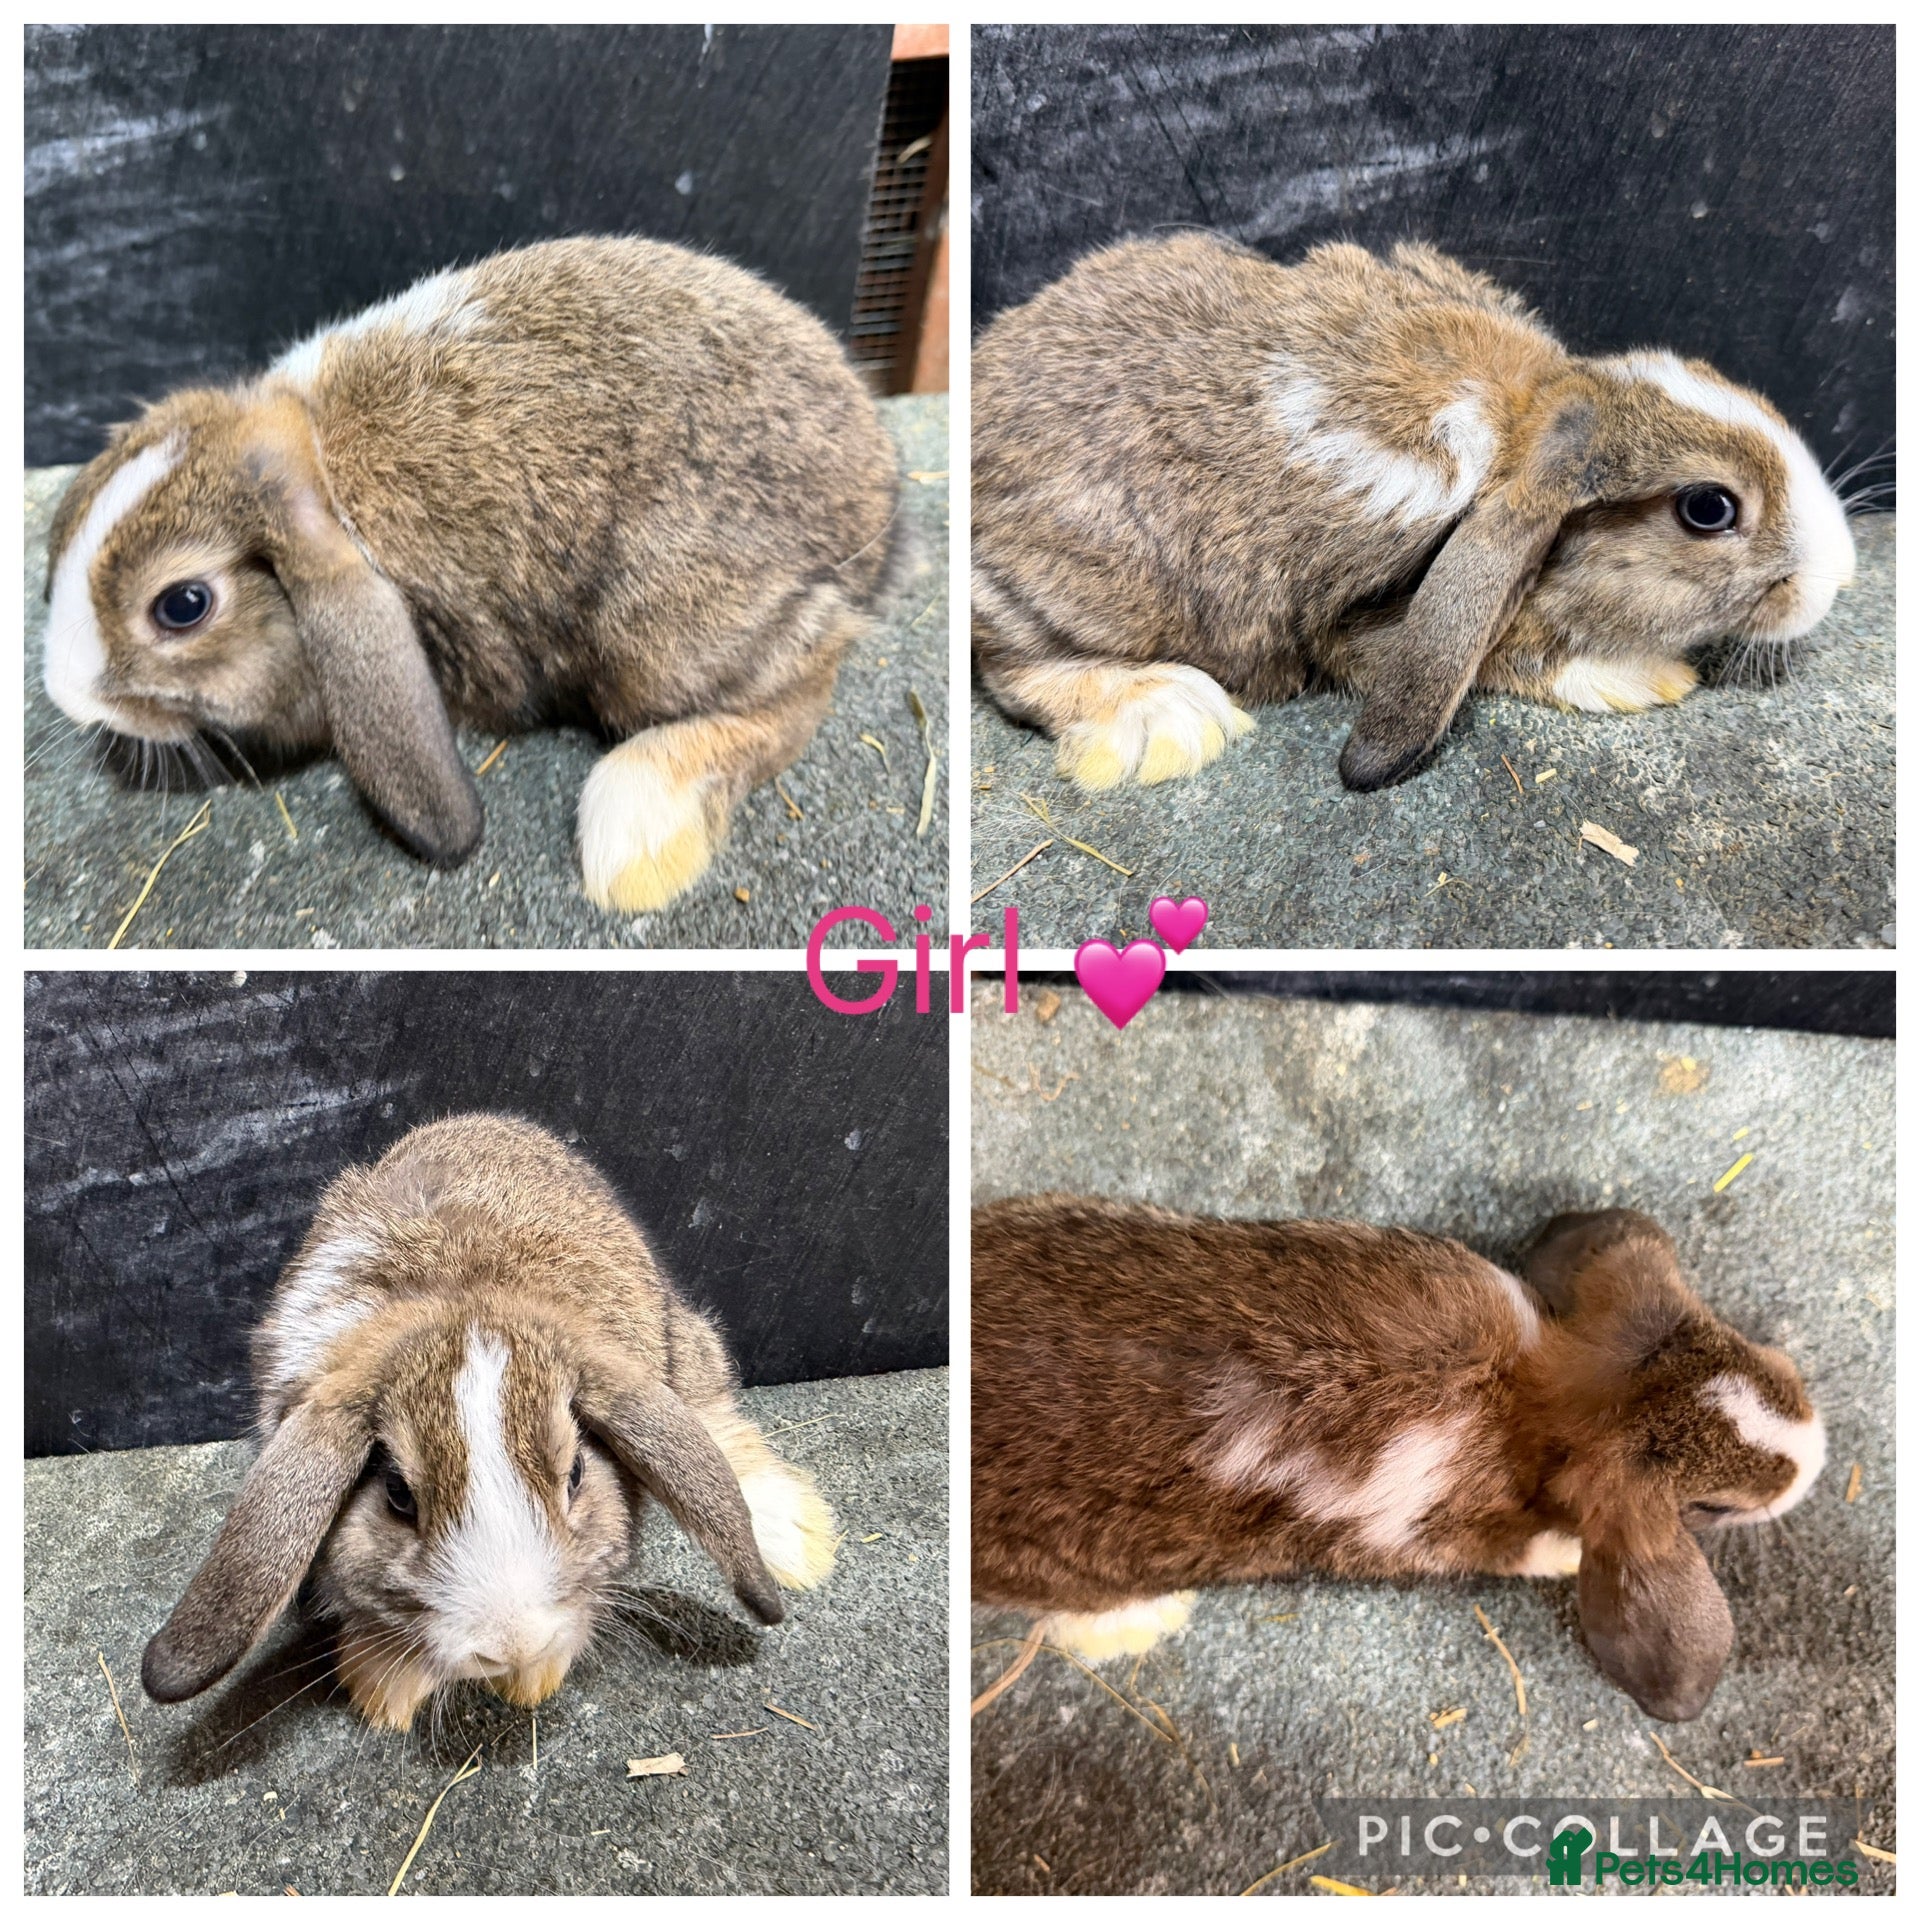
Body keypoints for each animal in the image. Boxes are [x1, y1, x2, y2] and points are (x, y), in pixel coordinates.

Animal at [43, 235, 902, 911]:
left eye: (183, 605)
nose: (66, 695)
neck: (321, 471)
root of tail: (880, 521)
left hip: (662, 641)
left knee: (791, 703)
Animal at [141, 1113, 838, 1731]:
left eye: (576, 1473)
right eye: (397, 1494)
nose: (512, 1645)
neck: (461, 1296)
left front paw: (532, 1680)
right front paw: (385, 1689)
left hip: (683, 1344)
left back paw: (793, 1537)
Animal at [972, 235, 1857, 792]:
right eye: (1708, 508)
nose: (1838, 577)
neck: (1525, 424)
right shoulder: (1361, 627)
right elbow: (1505, 657)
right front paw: (1641, 678)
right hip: (1080, 592)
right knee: (1012, 672)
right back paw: (1167, 717)